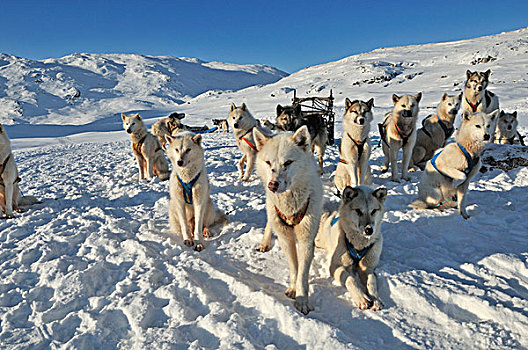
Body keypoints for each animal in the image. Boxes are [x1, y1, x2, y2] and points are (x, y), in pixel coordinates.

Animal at [253, 126, 322, 314]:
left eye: (288, 162)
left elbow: (303, 273)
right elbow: (294, 266)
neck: (290, 205)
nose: (272, 185)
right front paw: (293, 289)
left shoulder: (306, 238)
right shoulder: (285, 237)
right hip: (272, 211)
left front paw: (302, 299)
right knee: (270, 222)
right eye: (268, 163)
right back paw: (264, 242)